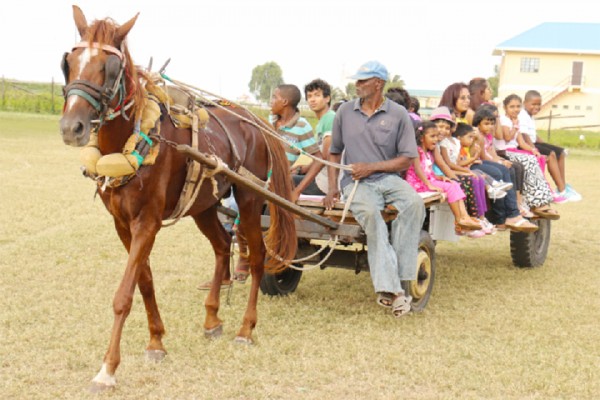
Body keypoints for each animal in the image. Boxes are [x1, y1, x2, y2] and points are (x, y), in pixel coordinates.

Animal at [59, 3, 298, 390]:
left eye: (109, 68)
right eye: (69, 61)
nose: (71, 127)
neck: (135, 138)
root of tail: (256, 122)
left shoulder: (148, 222)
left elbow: (123, 294)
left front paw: (108, 368)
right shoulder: (122, 224)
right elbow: (144, 282)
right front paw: (156, 341)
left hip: (248, 198)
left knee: (258, 256)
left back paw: (246, 328)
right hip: (205, 205)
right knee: (222, 246)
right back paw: (212, 319)